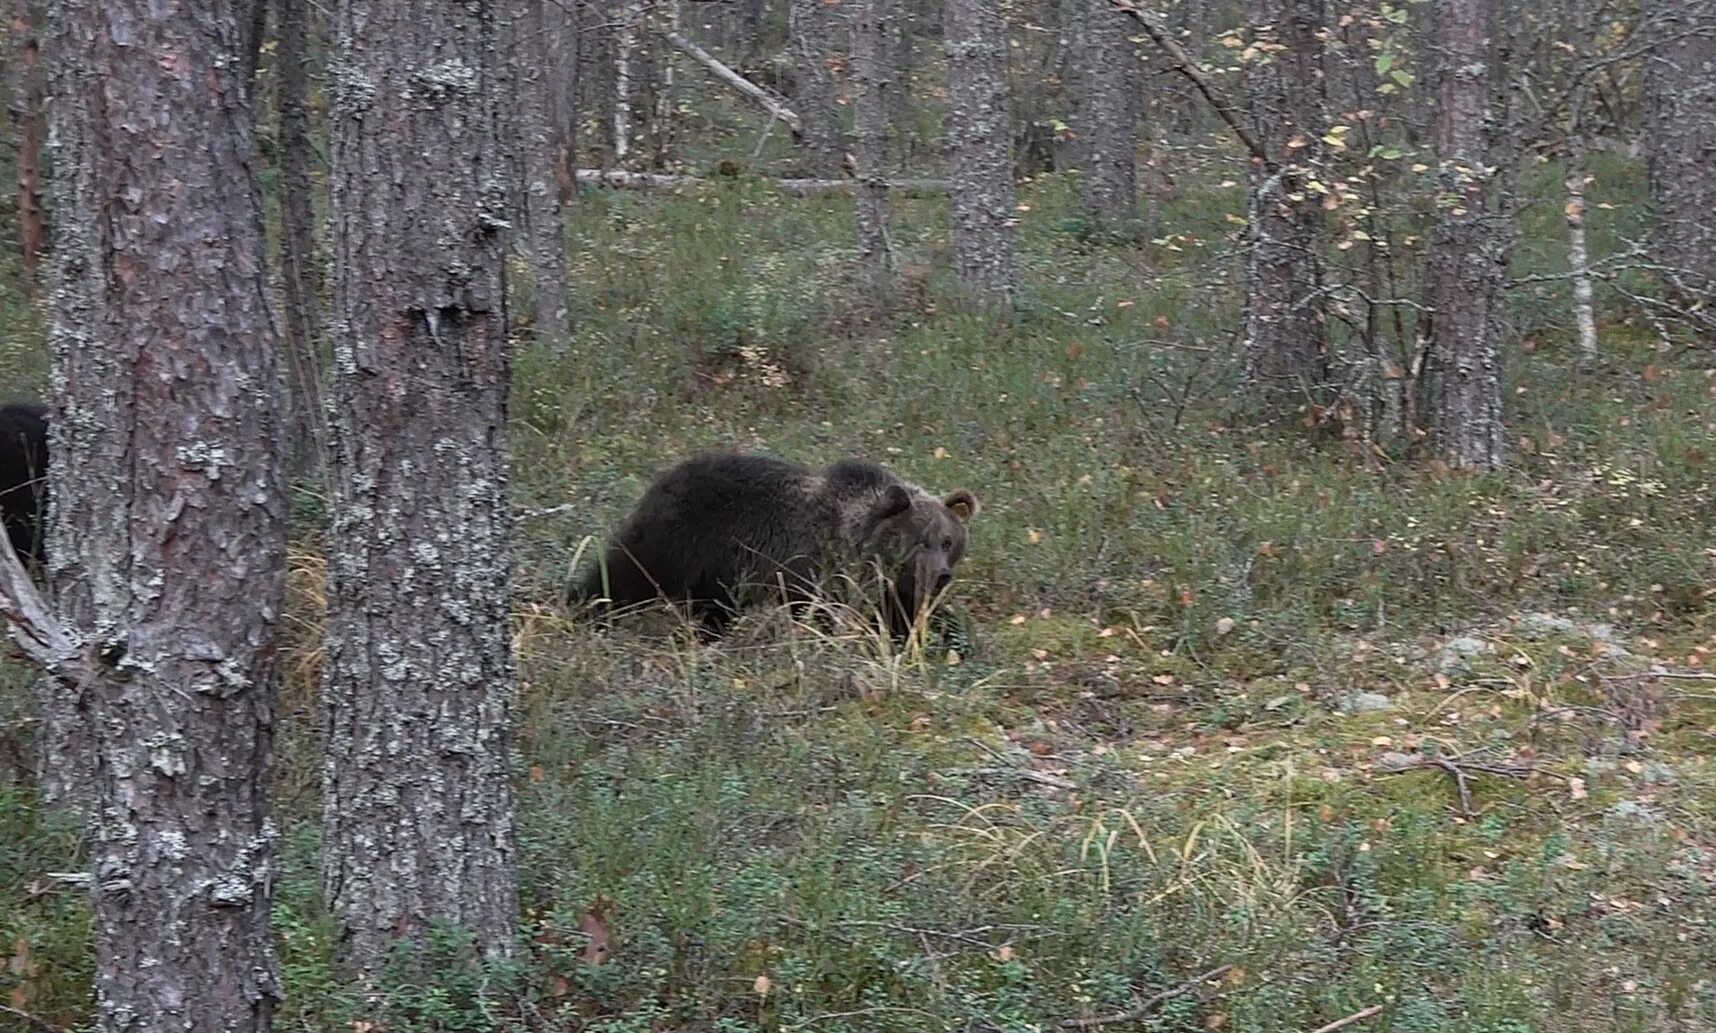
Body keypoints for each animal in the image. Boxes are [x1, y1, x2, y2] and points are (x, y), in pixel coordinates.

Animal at [569, 453, 988, 638]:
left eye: (947, 540)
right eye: (919, 540)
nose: (941, 576)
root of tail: (667, 476)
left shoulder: (890, 590)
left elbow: (902, 616)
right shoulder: (814, 570)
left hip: (718, 569)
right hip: (682, 537)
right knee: (626, 571)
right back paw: (583, 608)